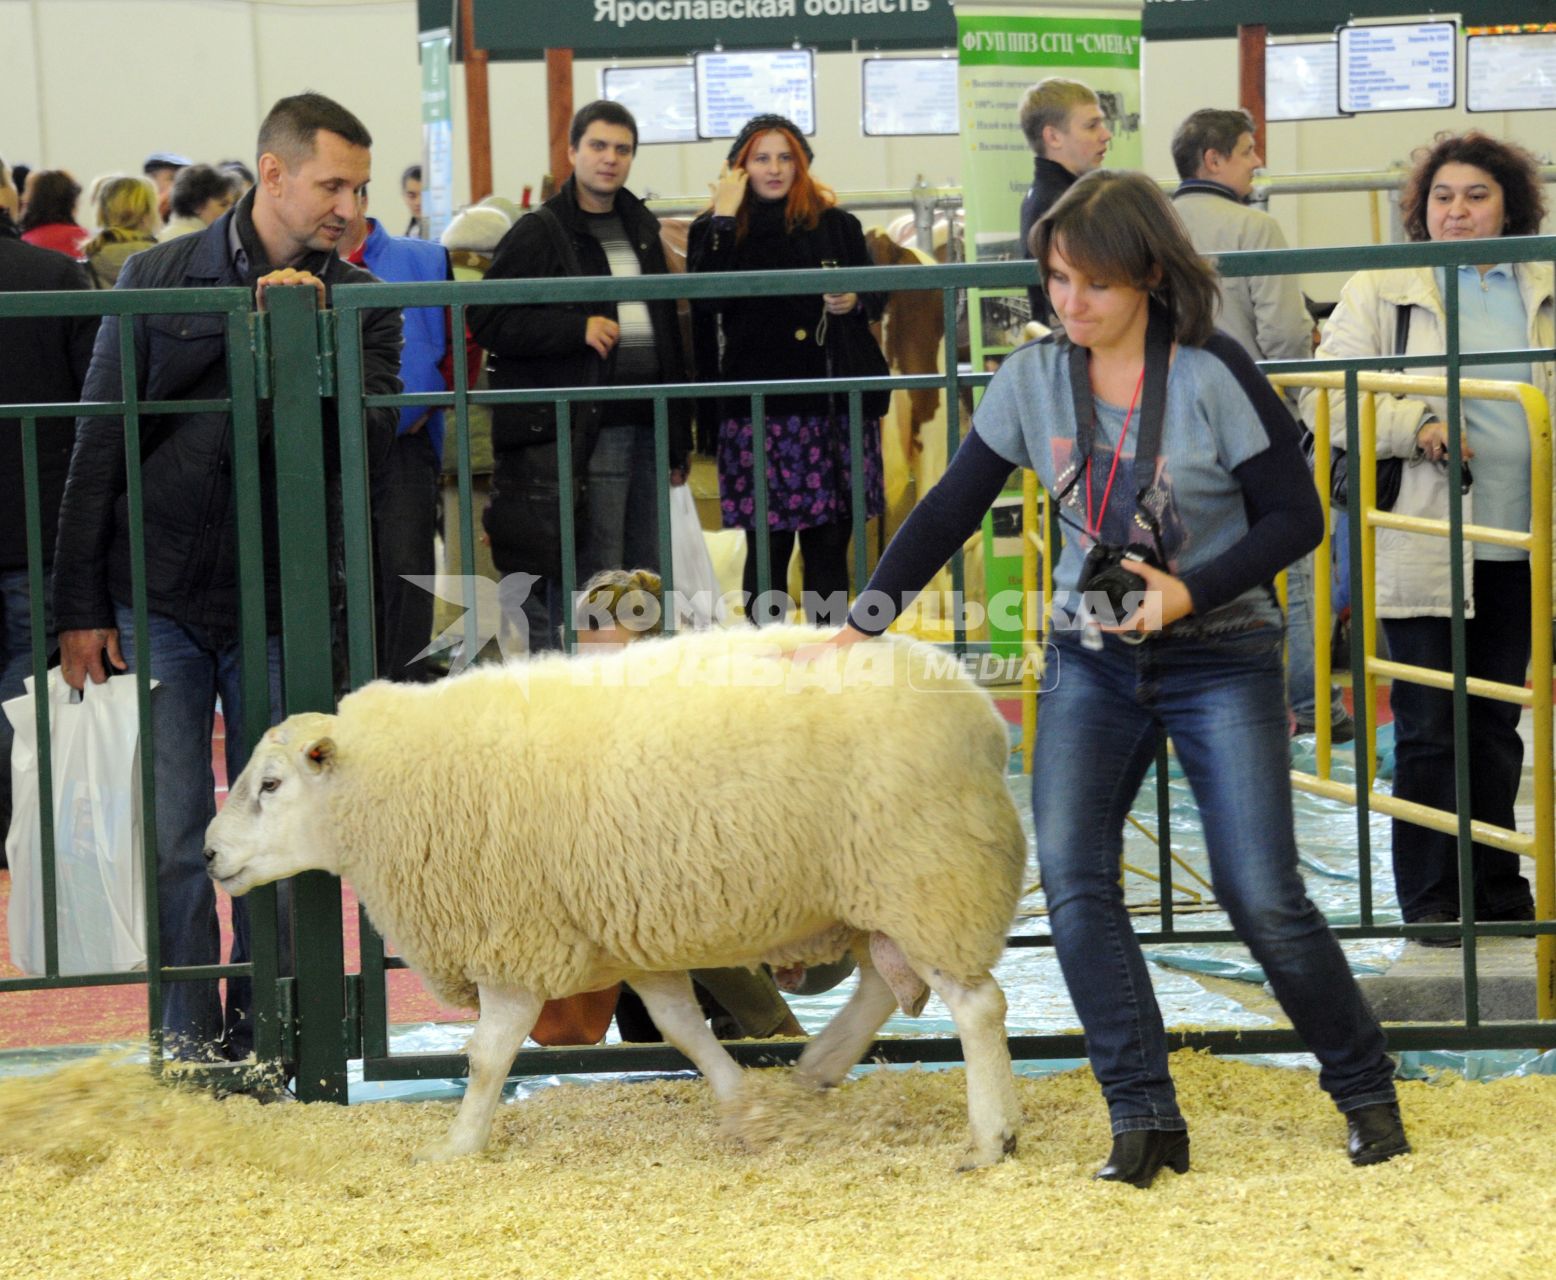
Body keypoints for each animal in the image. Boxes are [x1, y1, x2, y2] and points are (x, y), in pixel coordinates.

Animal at [206, 625, 1033, 1163]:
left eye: (271, 785)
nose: (210, 854)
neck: (390, 788)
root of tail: (983, 719)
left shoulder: (515, 937)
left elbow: (487, 1057)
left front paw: (457, 1146)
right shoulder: (629, 935)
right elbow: (682, 1029)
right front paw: (741, 1106)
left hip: (929, 874)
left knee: (977, 1006)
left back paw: (992, 1137)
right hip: (882, 891)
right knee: (884, 986)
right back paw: (819, 1068)